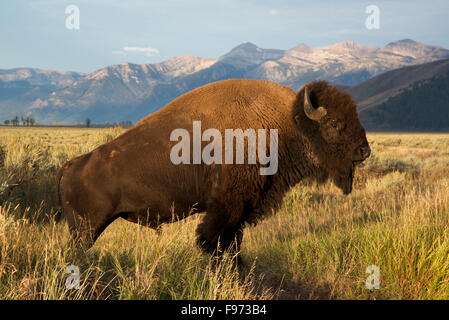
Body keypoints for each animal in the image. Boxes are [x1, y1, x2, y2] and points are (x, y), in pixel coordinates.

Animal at [56, 79, 370, 260]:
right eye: (333, 124)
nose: (364, 150)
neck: (285, 123)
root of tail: (71, 165)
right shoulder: (227, 208)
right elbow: (217, 244)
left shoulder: (241, 211)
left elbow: (233, 245)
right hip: (86, 230)